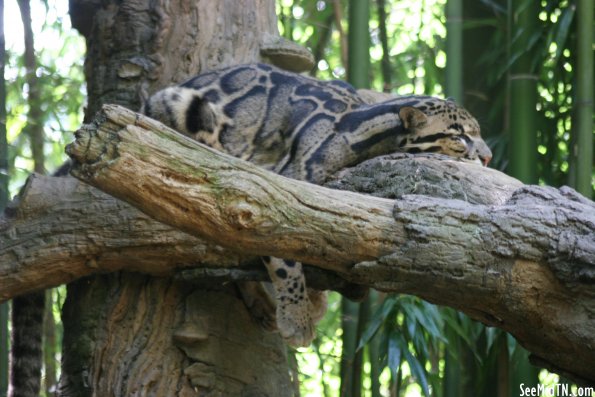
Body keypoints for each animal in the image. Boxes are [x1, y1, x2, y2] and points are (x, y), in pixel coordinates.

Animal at [141, 62, 494, 346]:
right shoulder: (285, 185)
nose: (489, 157)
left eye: (478, 132)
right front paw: (297, 315)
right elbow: (285, 255)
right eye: (459, 137)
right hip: (181, 106)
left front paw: (314, 299)